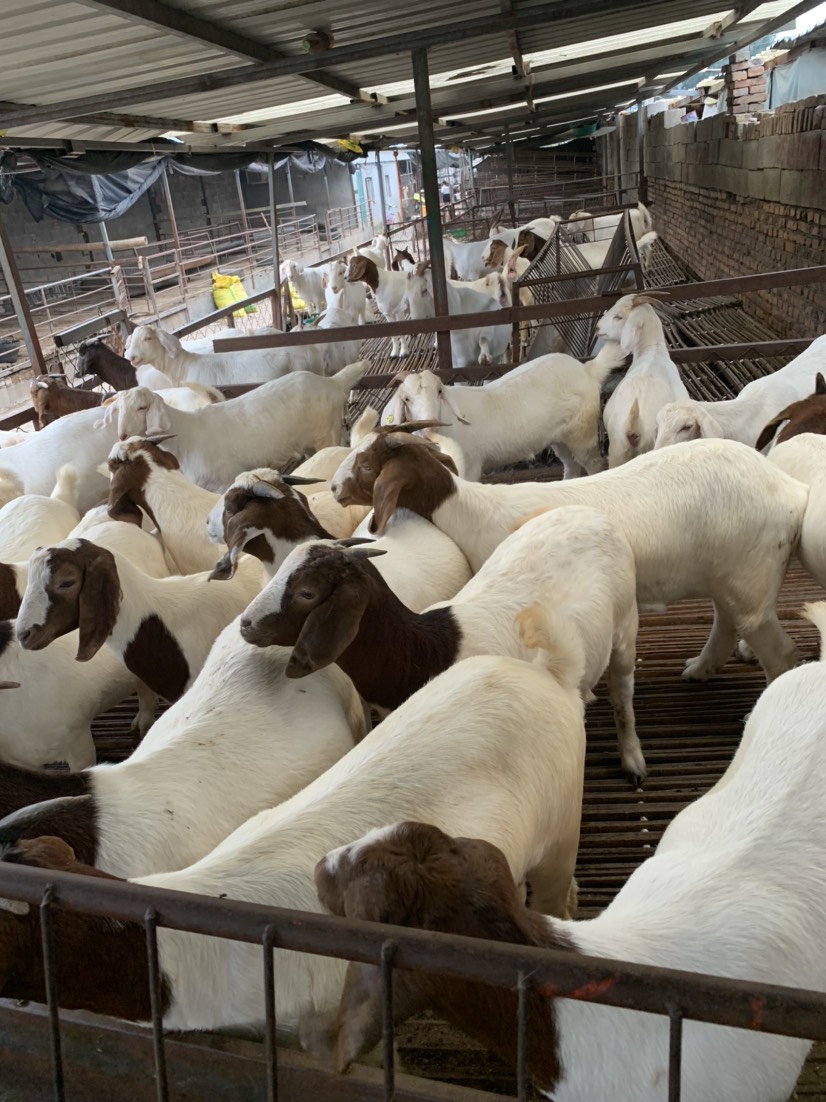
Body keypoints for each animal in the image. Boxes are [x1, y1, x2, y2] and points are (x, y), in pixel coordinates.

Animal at [95, 361, 370, 491]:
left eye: (142, 408)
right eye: (117, 410)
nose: (123, 435)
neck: (184, 438)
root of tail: (331, 382)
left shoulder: (223, 482)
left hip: (326, 435)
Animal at [334, 434, 810, 683]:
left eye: (366, 467)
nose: (336, 489)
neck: (472, 509)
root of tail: (790, 490)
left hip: (748, 574)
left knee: (778, 650)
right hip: (733, 575)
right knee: (728, 620)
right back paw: (700, 668)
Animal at [385, 346, 625, 480]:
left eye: (439, 392)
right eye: (406, 399)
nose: (431, 423)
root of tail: (587, 369)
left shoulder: (469, 468)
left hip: (582, 432)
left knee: (594, 464)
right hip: (560, 438)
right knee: (571, 466)